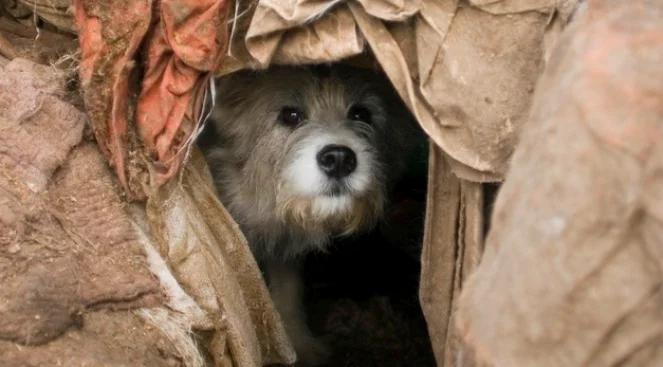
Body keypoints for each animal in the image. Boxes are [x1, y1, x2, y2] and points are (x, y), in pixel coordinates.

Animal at [200, 65, 422, 366]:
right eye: (290, 115)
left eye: (361, 113)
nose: (339, 158)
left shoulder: (284, 250)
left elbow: (288, 292)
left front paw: (298, 345)